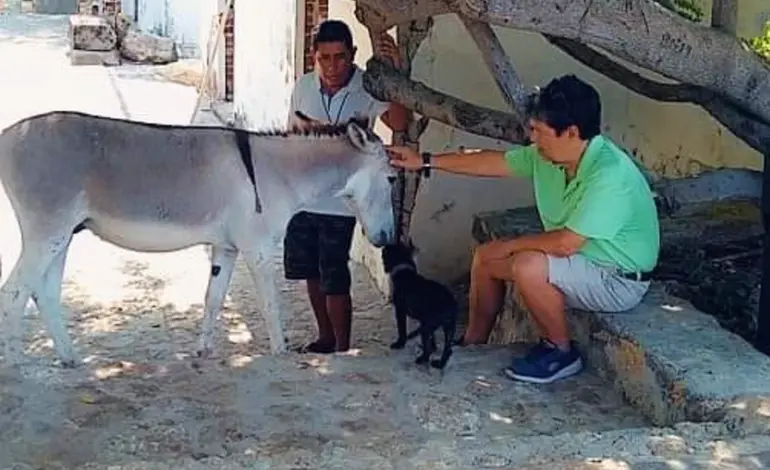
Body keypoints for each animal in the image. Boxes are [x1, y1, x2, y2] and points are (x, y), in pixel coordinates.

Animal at [380, 241, 456, 370]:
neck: (404, 270)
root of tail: (450, 305)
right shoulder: (424, 320)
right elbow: (432, 339)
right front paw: (434, 346)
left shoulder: (400, 311)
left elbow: (402, 329)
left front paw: (399, 343)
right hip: (449, 327)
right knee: (448, 349)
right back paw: (440, 364)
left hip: (429, 326)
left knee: (429, 347)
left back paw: (422, 359)